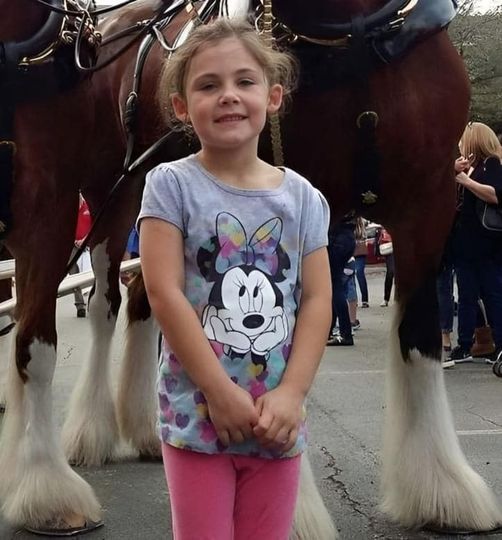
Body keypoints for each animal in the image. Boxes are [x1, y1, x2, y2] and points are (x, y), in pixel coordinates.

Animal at [1, 0, 500, 536]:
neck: (354, 36)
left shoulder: (428, 207)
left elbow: (421, 339)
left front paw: (443, 488)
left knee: (142, 302)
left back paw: (146, 430)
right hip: (111, 197)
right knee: (104, 304)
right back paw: (91, 432)